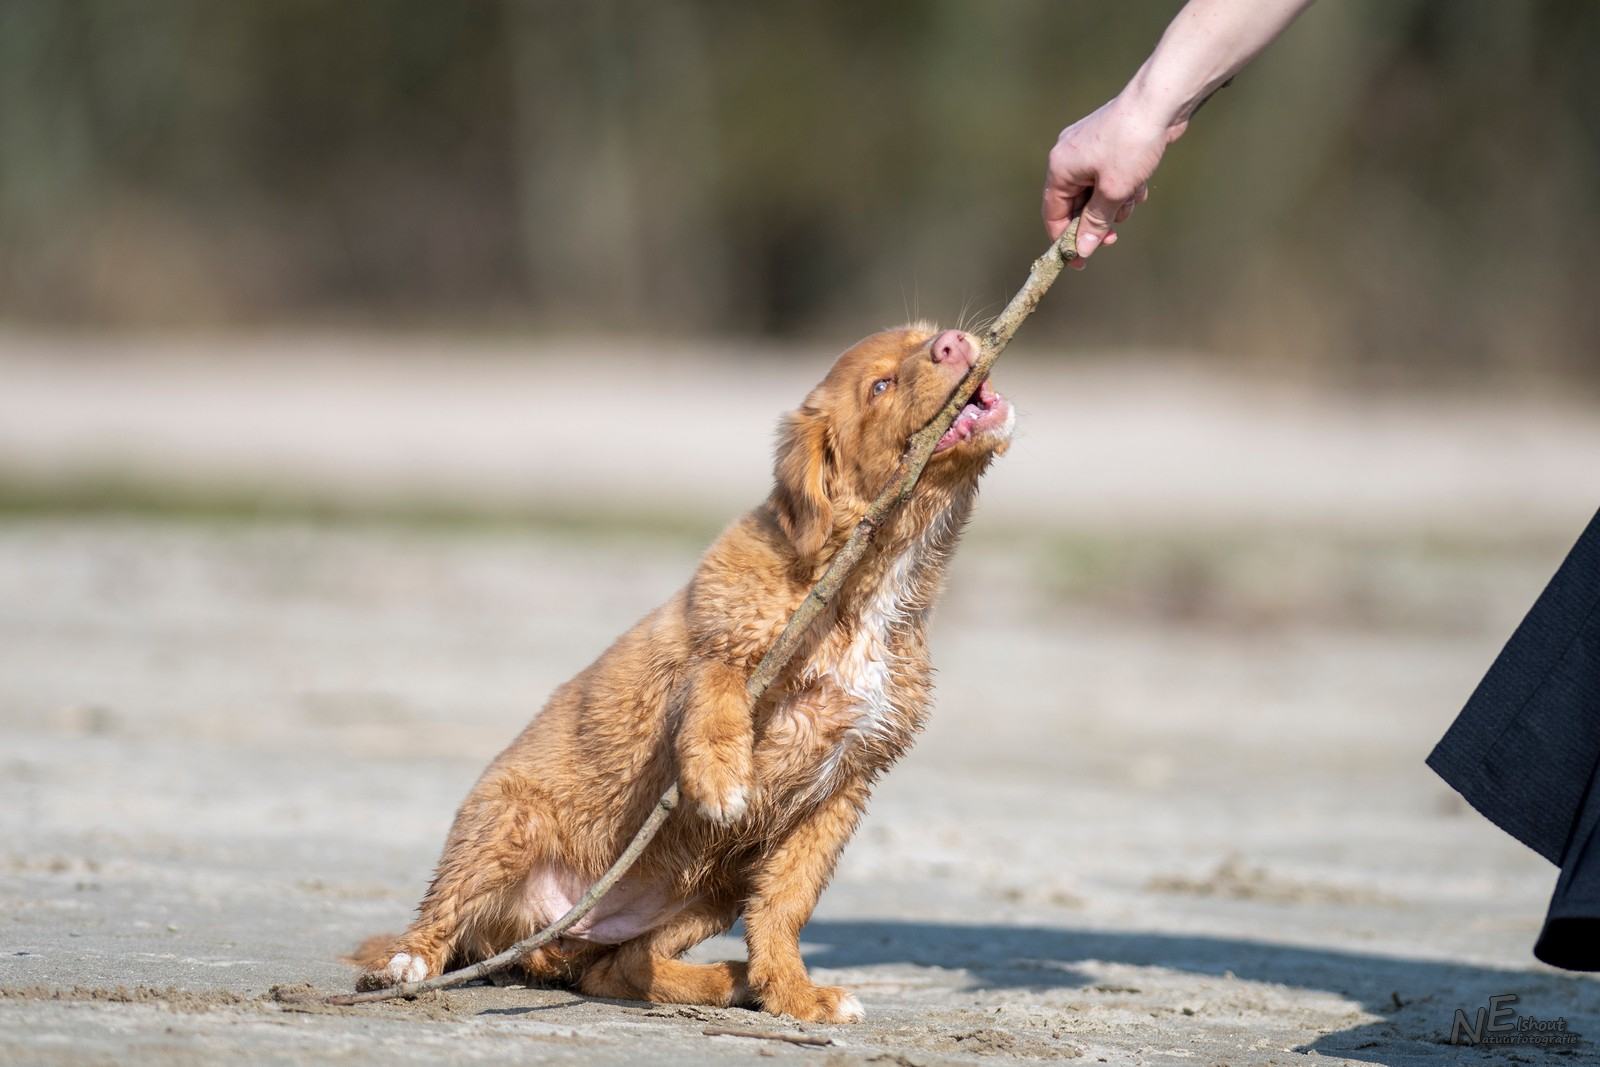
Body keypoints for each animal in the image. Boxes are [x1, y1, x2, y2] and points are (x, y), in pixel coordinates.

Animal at [358, 321, 1017, 1023]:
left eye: (926, 338)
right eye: (881, 385)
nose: (954, 342)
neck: (871, 578)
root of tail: (548, 933)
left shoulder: (846, 785)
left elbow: (785, 907)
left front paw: (794, 994)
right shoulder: (709, 648)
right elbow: (717, 685)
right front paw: (723, 778)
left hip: (706, 891)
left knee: (621, 970)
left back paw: (729, 980)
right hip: (504, 824)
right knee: (442, 910)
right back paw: (406, 964)